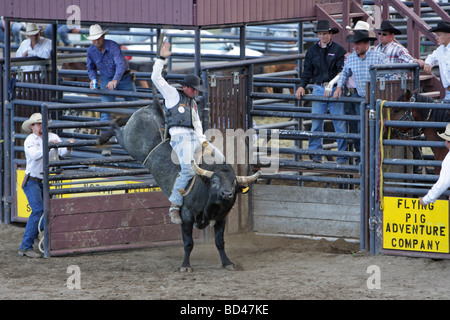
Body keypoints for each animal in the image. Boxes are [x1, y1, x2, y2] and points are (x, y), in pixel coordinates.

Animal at [98, 103, 260, 272]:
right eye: (214, 181)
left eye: (234, 183)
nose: (227, 194)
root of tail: (149, 108)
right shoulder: (187, 216)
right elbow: (188, 243)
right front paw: (185, 265)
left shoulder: (222, 219)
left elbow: (220, 243)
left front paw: (227, 262)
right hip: (128, 141)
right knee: (117, 129)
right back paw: (102, 137)